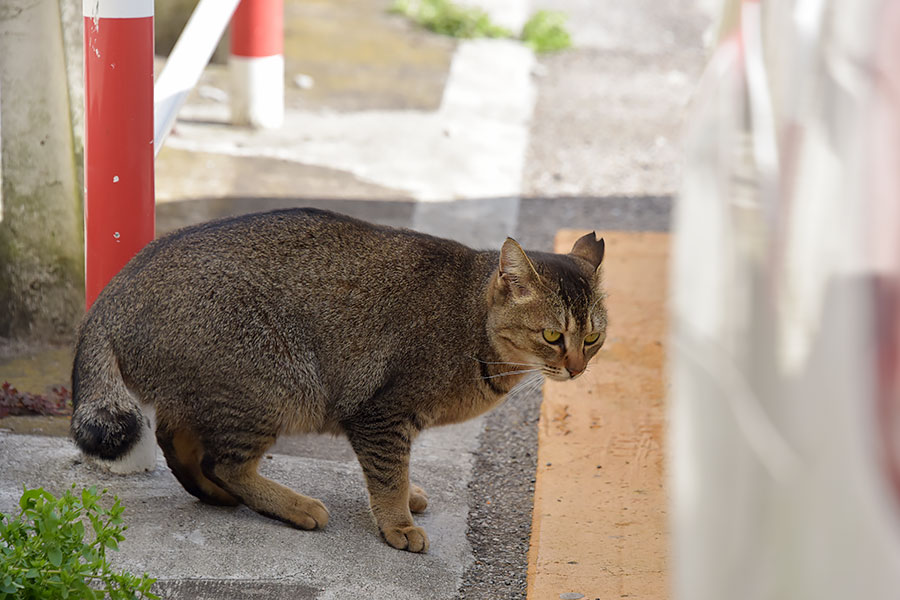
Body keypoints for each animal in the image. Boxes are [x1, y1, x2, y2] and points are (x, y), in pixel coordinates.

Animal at [68, 207, 604, 552]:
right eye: (552, 335)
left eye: (593, 337)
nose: (578, 367)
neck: (472, 322)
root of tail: (111, 296)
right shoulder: (381, 414)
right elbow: (387, 474)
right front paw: (397, 524)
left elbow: (394, 472)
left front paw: (406, 500)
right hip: (275, 383)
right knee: (223, 462)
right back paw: (294, 506)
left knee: (177, 440)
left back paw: (218, 496)